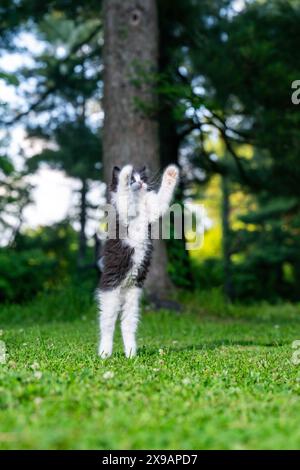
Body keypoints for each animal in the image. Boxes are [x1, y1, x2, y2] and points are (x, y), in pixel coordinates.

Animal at [98, 163, 178, 358]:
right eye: (134, 180)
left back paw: (131, 353)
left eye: (142, 178)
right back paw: (104, 353)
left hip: (133, 300)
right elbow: (123, 192)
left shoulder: (153, 209)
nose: (140, 183)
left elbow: (161, 199)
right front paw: (125, 174)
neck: (139, 202)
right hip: (110, 297)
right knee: (107, 326)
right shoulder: (122, 207)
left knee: (126, 325)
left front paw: (171, 173)